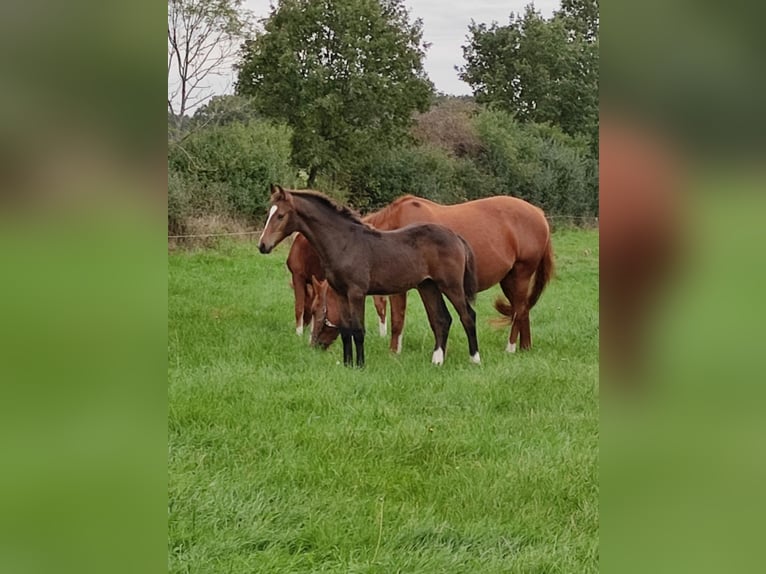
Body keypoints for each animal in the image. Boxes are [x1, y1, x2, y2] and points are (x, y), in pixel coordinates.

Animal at [260, 187, 484, 372]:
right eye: (268, 213)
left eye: (280, 215)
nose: (262, 246)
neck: (344, 243)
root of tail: (456, 237)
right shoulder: (341, 293)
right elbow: (346, 330)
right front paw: (347, 364)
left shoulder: (357, 293)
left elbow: (358, 330)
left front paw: (360, 365)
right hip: (428, 286)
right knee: (441, 319)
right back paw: (437, 361)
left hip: (451, 286)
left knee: (468, 316)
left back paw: (475, 359)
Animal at [314, 195, 560, 356]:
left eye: (318, 310)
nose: (315, 344)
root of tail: (539, 214)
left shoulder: (411, 286)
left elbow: (399, 320)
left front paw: (395, 353)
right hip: (508, 279)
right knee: (523, 309)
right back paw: (525, 348)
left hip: (520, 274)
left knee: (519, 311)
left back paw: (510, 347)